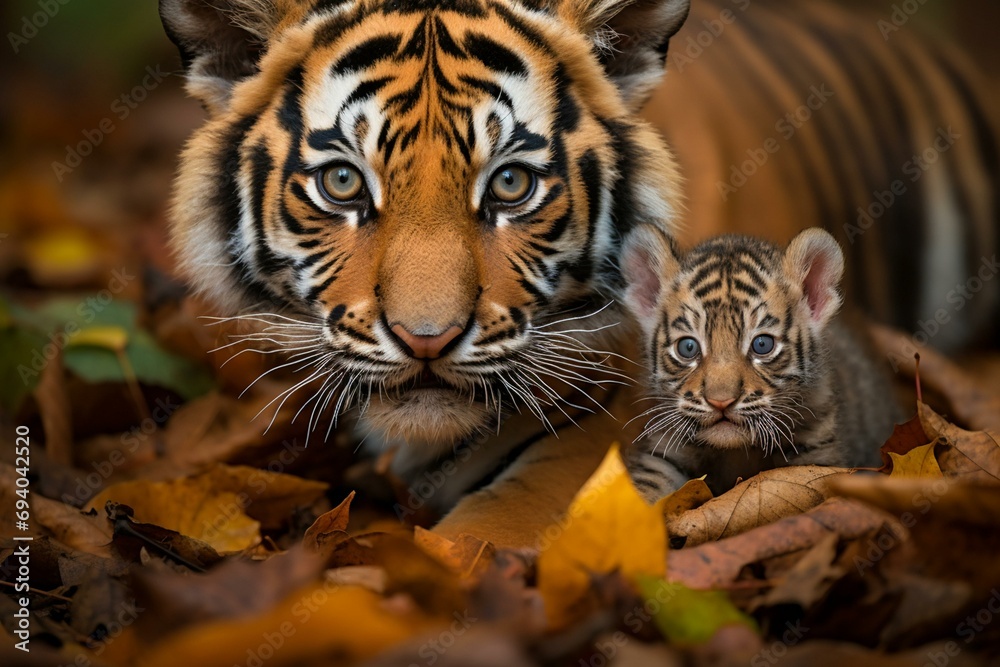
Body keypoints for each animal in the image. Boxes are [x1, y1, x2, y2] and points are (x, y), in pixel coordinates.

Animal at [620, 225, 904, 500]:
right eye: (688, 348)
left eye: (762, 345)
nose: (721, 401)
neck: (735, 452)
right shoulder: (664, 450)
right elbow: (643, 491)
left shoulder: (817, 451)